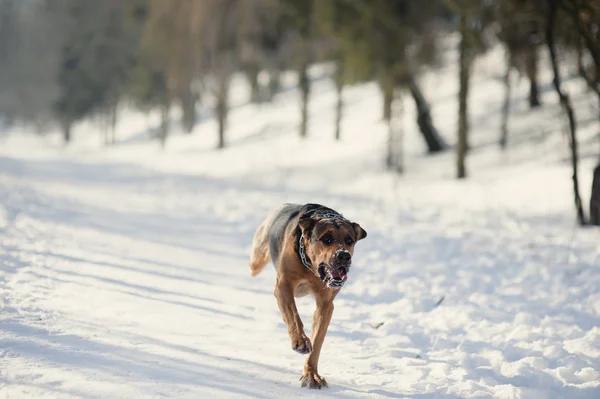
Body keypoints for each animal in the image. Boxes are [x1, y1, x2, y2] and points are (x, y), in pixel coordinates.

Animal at [247, 205, 366, 390]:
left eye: (349, 240)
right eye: (327, 239)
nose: (344, 256)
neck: (310, 268)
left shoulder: (326, 305)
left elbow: (317, 342)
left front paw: (311, 375)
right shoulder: (284, 287)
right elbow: (294, 316)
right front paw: (301, 341)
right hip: (257, 260)